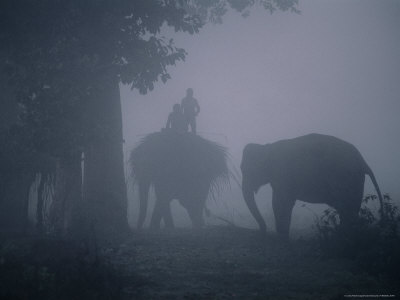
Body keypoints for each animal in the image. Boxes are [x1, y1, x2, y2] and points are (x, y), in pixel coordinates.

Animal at [241, 132, 384, 238]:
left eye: (243, 169)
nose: (263, 231)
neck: (267, 147)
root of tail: (363, 162)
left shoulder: (282, 174)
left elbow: (280, 203)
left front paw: (282, 237)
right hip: (355, 181)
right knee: (349, 209)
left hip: (347, 179)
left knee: (347, 209)